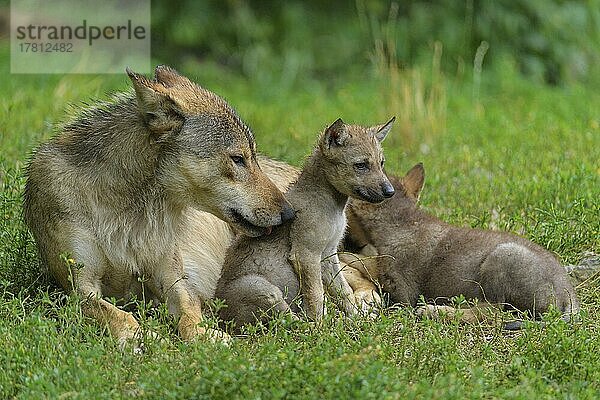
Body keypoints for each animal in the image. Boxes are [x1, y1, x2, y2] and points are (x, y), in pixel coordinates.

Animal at [23, 65, 296, 346]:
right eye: (238, 159)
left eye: (253, 158)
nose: (289, 213)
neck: (128, 211)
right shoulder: (78, 288)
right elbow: (116, 314)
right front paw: (139, 338)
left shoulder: (174, 278)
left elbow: (188, 313)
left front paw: (204, 335)